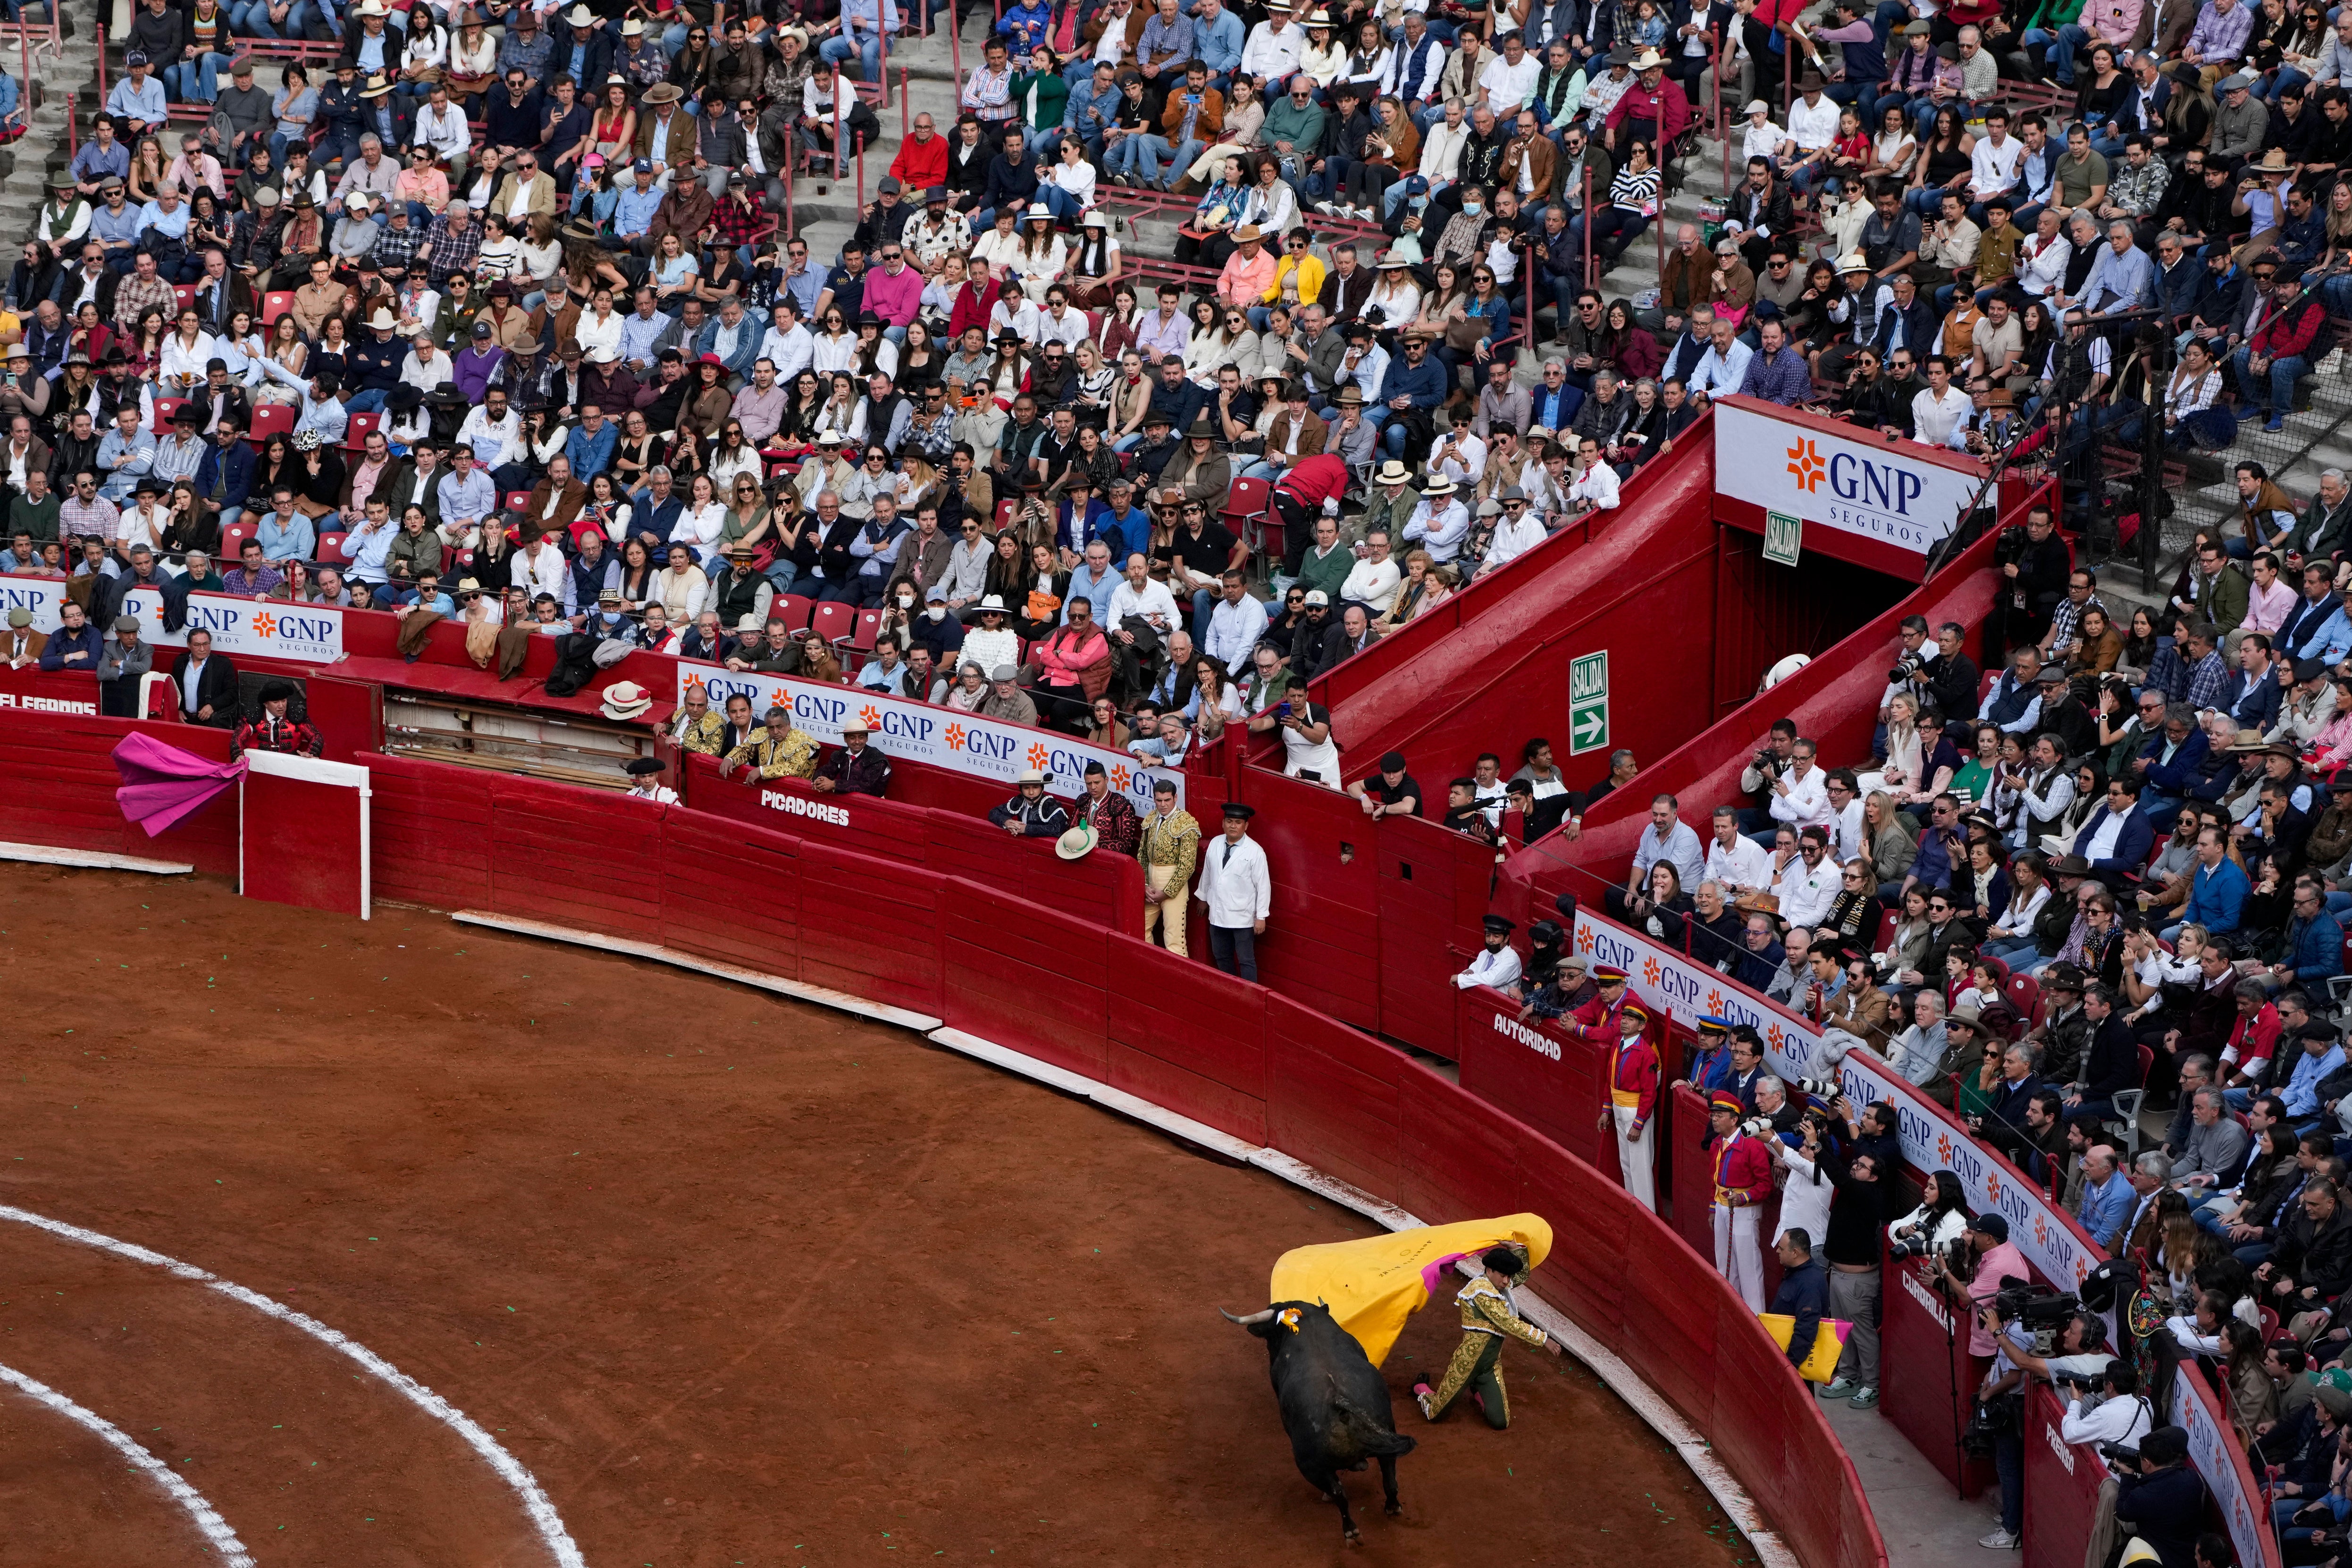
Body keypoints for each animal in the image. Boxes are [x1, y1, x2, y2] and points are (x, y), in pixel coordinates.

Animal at [1232, 1298, 1411, 1542]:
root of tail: (1340, 1402)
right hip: (1387, 1434)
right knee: (1390, 1477)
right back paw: (1393, 1507)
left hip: (1307, 1464)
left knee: (1338, 1492)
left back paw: (1350, 1530)